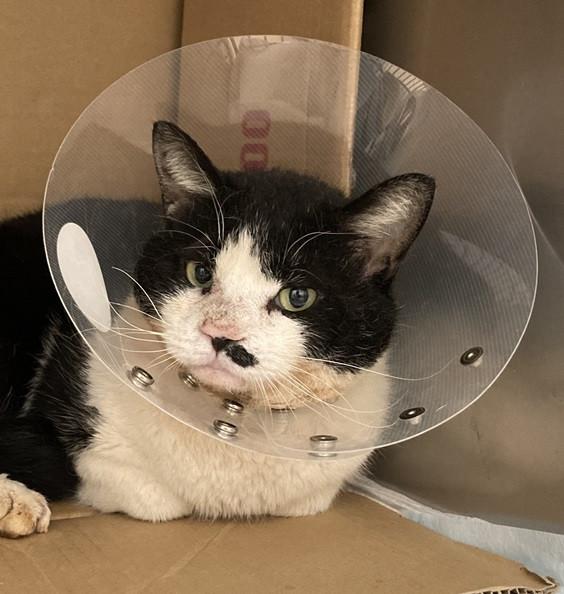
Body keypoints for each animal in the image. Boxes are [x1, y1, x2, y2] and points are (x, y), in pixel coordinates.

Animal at [0, 121, 434, 537]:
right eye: (200, 272)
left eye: (298, 296)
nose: (221, 335)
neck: (231, 423)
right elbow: (154, 498)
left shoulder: (321, 485)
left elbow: (307, 500)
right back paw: (17, 503)